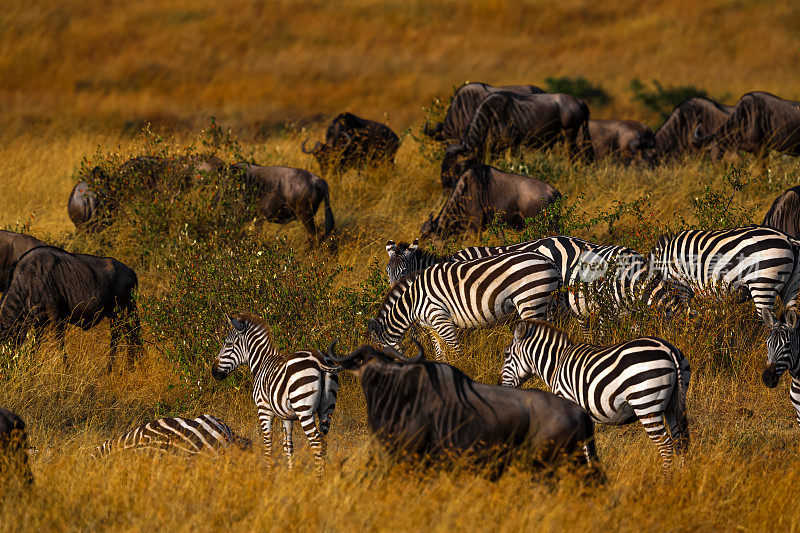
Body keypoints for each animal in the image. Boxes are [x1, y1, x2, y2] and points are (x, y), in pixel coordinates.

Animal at [211, 312, 340, 474]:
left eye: (228, 344)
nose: (213, 372)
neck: (261, 363)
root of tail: (319, 358)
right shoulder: (286, 416)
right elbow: (288, 446)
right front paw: (290, 473)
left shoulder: (263, 408)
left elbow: (268, 444)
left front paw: (269, 472)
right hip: (327, 409)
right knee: (324, 441)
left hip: (303, 407)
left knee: (316, 442)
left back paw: (318, 478)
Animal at [368, 251, 556, 360]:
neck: (414, 301)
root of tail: (549, 260)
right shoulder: (431, 327)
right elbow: (439, 353)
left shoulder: (441, 319)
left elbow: (455, 349)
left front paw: (461, 371)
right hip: (544, 301)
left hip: (530, 300)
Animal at [504, 318, 692, 476]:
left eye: (506, 355)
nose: (503, 387)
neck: (557, 364)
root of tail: (668, 349)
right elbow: (590, 450)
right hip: (674, 404)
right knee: (680, 442)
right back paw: (681, 479)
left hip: (646, 403)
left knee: (666, 445)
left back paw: (666, 481)